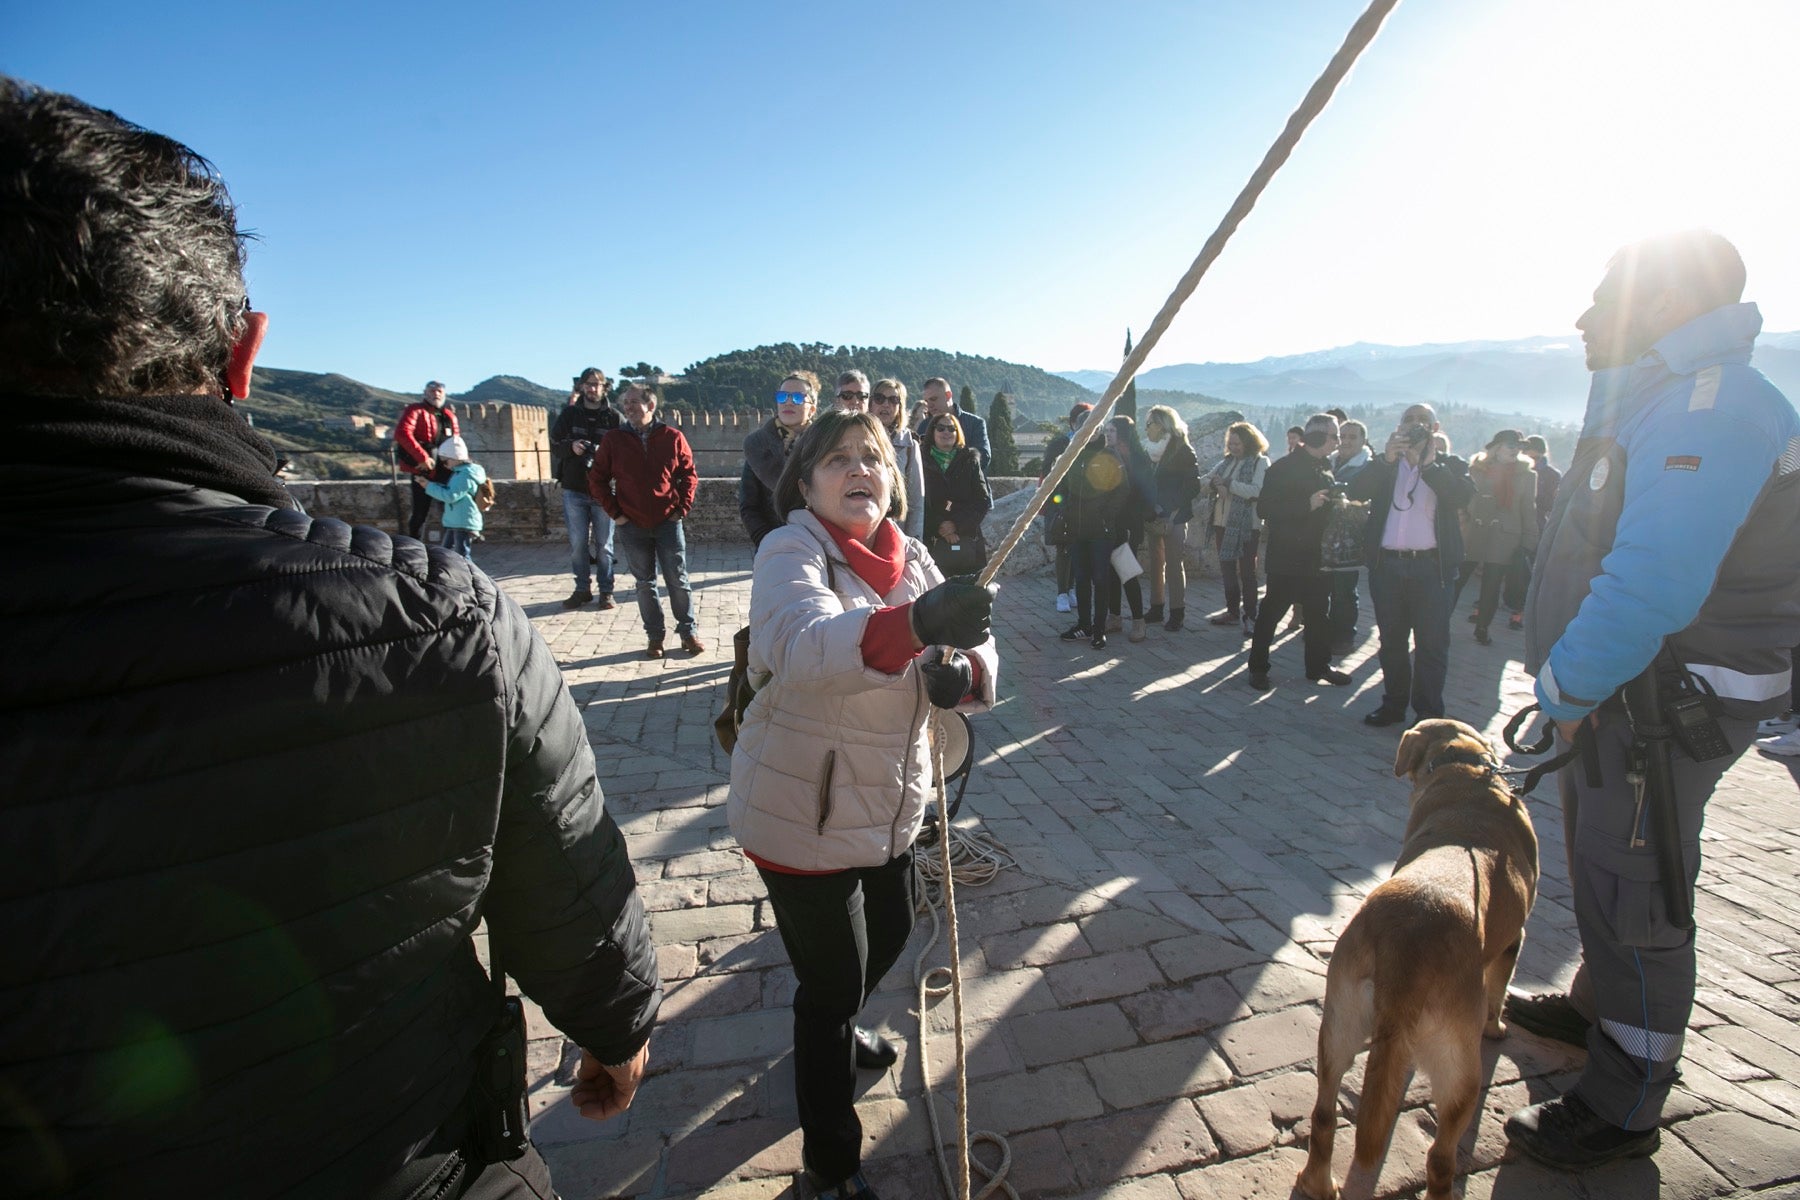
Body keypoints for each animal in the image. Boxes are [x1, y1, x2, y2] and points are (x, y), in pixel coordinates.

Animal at [1303, 723, 1540, 1200]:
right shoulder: (1514, 942)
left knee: (1324, 1114)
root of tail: (1407, 948)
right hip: (1460, 1069)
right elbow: (1500, 991)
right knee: (1441, 1159)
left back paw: (1316, 1183)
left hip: (1338, 1022)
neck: (1467, 774)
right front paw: (1497, 1027)